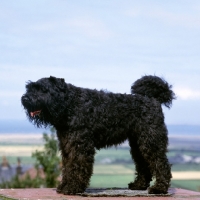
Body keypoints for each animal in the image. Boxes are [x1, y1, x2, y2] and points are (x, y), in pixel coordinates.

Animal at [21, 74, 175, 194]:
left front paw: (72, 187)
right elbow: (68, 166)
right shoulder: (67, 145)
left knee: (161, 163)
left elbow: (77, 165)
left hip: (151, 141)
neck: (69, 104)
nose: (25, 99)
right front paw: (64, 186)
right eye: (30, 88)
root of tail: (153, 99)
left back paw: (159, 188)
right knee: (144, 165)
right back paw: (139, 185)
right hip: (138, 144)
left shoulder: (79, 145)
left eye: (43, 89)